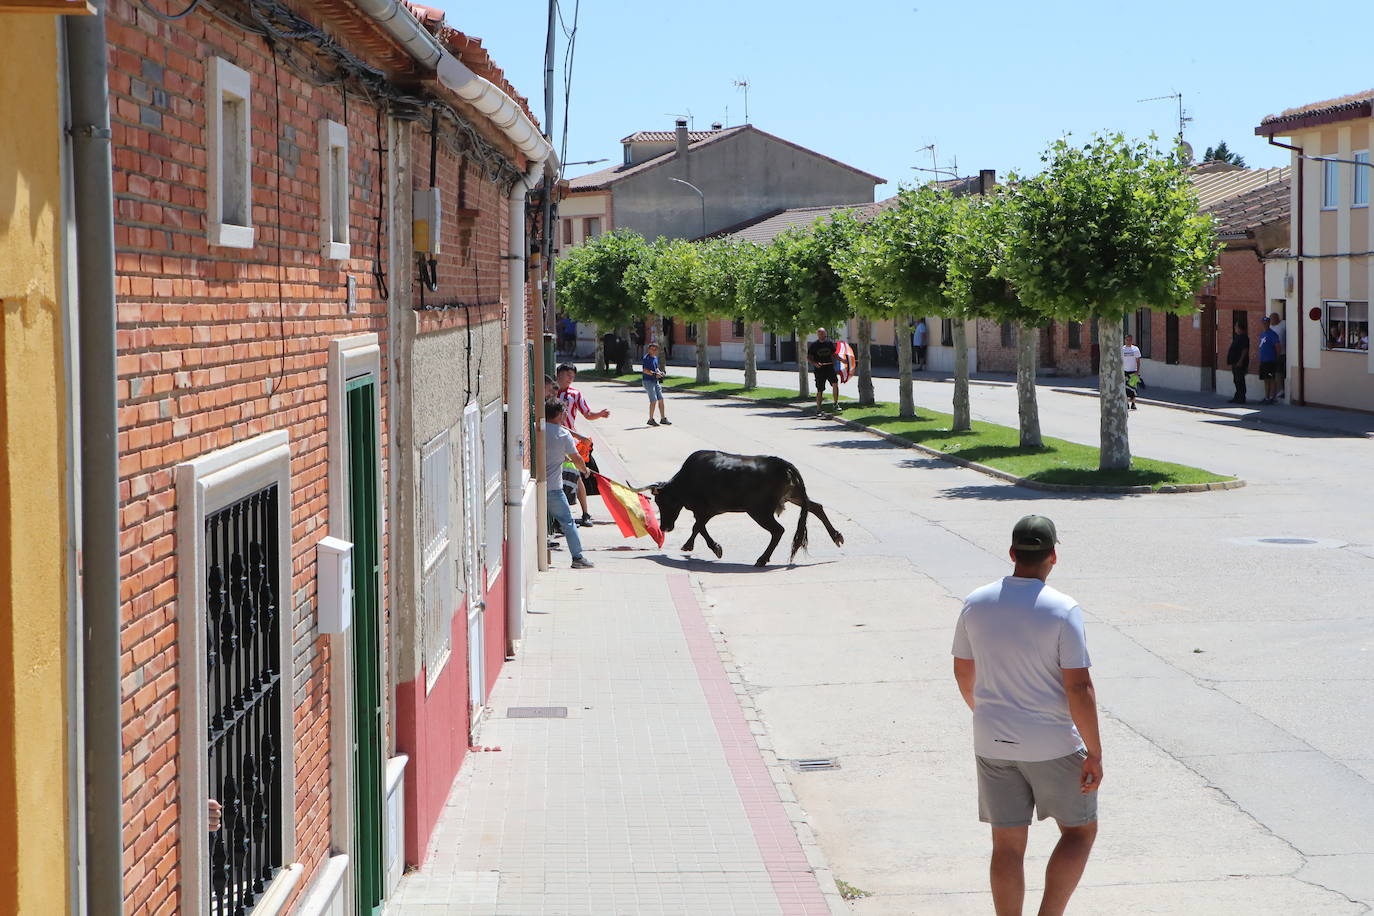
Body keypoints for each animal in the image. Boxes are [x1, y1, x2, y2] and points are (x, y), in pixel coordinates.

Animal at [648, 450, 840, 568]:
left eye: (662, 502)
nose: (664, 527)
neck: (686, 481)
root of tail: (783, 464)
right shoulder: (709, 511)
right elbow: (698, 528)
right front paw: (688, 546)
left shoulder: (705, 509)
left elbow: (699, 527)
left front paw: (716, 548)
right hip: (794, 496)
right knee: (816, 507)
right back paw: (837, 536)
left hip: (759, 511)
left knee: (778, 530)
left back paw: (762, 559)